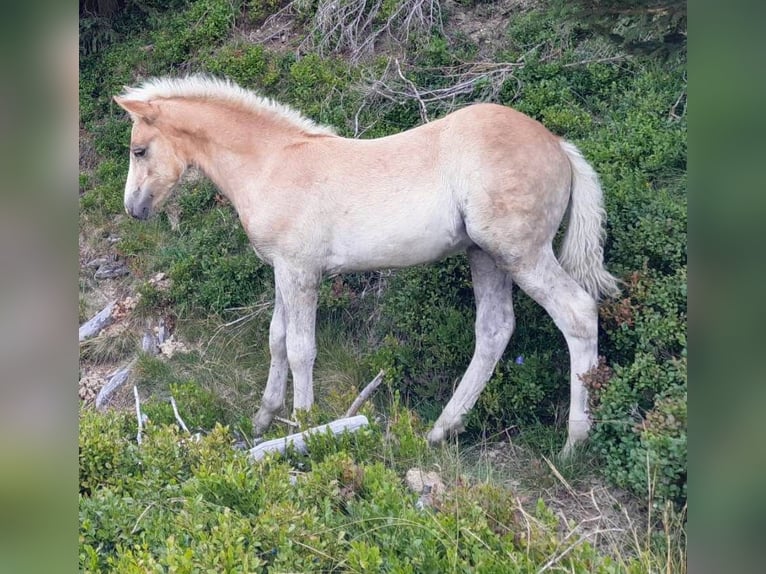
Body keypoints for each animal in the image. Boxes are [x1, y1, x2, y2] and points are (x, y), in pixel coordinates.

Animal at [114, 75, 620, 454]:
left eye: (139, 150)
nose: (133, 209)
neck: (273, 164)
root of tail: (559, 145)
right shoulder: (281, 270)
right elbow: (276, 340)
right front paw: (263, 418)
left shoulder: (300, 271)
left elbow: (300, 348)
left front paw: (304, 426)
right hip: (485, 256)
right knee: (495, 330)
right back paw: (441, 429)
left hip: (521, 253)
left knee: (578, 313)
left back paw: (573, 443)